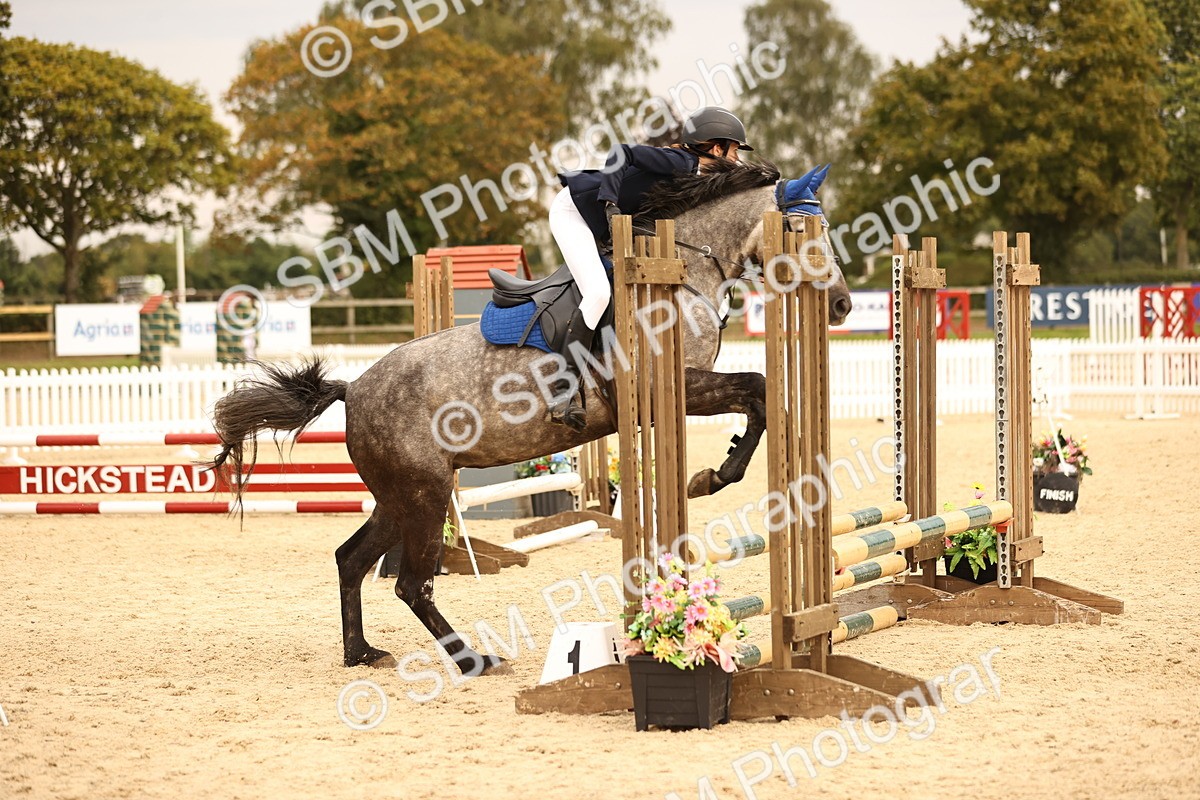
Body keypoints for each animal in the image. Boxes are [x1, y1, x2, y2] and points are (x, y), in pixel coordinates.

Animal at [210, 160, 851, 675]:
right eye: (810, 230)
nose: (843, 304)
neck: (684, 270)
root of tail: (354, 388)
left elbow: (759, 396)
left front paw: (720, 470)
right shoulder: (678, 387)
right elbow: (759, 390)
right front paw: (711, 477)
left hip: (400, 495)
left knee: (352, 561)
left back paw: (362, 653)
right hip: (425, 492)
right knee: (411, 584)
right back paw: (471, 660)